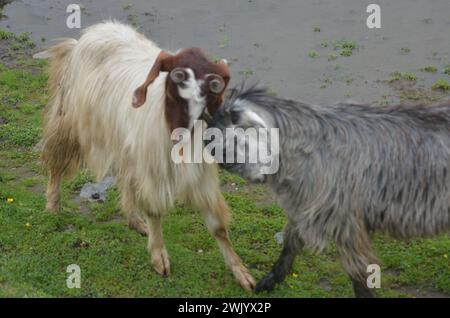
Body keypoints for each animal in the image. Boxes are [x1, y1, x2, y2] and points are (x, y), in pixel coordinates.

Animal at [207, 85, 450, 298]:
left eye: (230, 138)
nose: (218, 159)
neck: (311, 150)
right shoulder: (303, 206)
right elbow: (290, 244)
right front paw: (269, 281)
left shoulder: (346, 223)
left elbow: (360, 275)